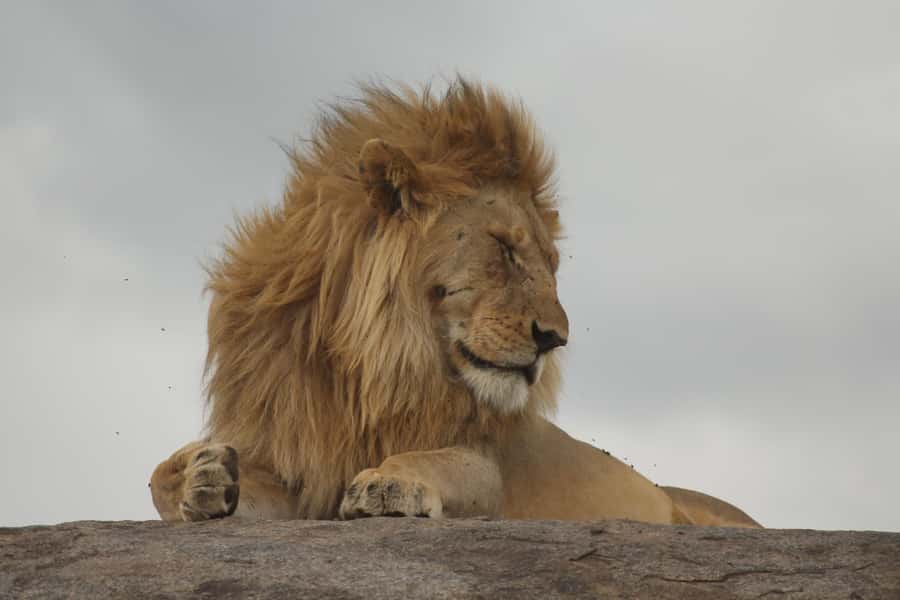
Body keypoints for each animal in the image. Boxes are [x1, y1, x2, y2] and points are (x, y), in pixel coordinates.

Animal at [150, 79, 760, 529]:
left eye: (551, 264)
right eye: (505, 249)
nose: (555, 339)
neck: (369, 369)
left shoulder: (485, 464)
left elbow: (437, 461)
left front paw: (390, 481)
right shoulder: (300, 464)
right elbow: (159, 478)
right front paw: (200, 478)